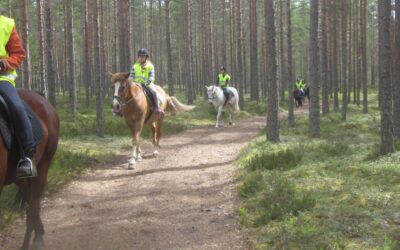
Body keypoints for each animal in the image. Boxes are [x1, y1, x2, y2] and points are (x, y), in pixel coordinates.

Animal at [0, 89, 59, 249]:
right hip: (21, 177)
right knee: (29, 201)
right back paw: (39, 232)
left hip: (43, 165)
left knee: (33, 206)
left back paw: (31, 242)